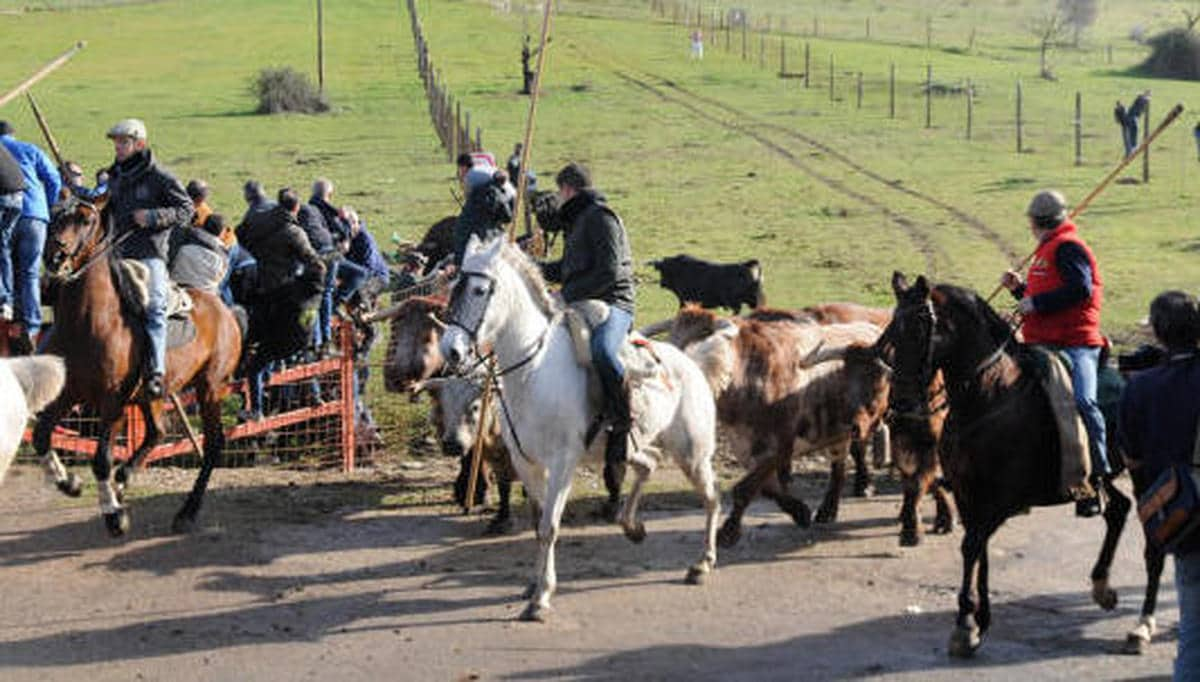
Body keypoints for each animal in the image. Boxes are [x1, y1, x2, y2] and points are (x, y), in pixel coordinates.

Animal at [33, 196, 241, 537]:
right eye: (55, 215)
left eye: (86, 219)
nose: (55, 254)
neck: (87, 322)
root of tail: (224, 309)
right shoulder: (67, 394)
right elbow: (40, 438)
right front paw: (71, 483)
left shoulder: (112, 403)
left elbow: (101, 459)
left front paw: (114, 516)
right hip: (153, 393)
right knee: (157, 431)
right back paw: (124, 478)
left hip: (211, 388)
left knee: (212, 444)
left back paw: (186, 512)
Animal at [441, 236, 720, 619]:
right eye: (455, 285)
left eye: (481, 290)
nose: (451, 351)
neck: (534, 372)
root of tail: (690, 362)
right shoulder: (527, 463)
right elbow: (538, 523)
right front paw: (533, 585)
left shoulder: (562, 463)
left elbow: (549, 526)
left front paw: (541, 597)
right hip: (629, 448)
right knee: (647, 466)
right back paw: (632, 527)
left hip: (692, 453)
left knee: (711, 499)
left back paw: (702, 564)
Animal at [883, 272, 1132, 662]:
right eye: (895, 325)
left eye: (922, 325)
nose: (901, 403)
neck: (987, 398)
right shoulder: (969, 495)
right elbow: (979, 549)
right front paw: (980, 619)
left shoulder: (999, 500)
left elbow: (972, 545)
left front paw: (965, 624)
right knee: (1119, 509)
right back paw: (1102, 587)